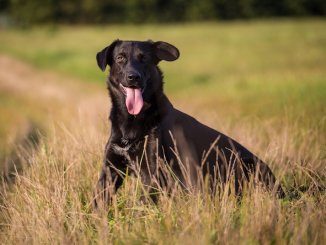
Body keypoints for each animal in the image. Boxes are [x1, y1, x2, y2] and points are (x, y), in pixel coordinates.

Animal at [93, 40, 284, 207]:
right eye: (120, 58)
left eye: (144, 58)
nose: (133, 77)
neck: (132, 121)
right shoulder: (110, 169)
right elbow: (98, 200)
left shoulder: (152, 173)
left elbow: (141, 206)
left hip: (246, 164)